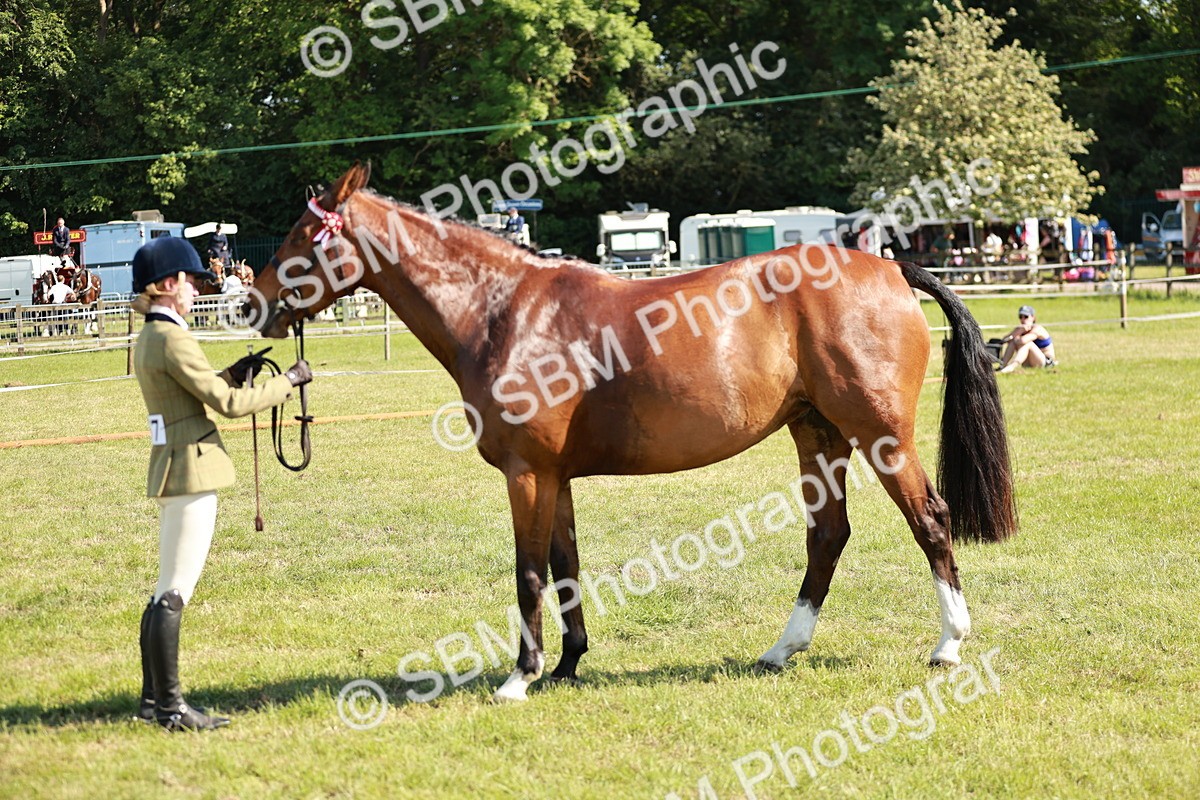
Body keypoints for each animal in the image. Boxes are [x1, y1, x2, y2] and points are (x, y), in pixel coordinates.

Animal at [246, 163, 1017, 703]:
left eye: (302, 236)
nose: (255, 302)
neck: (502, 312)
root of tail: (891, 265)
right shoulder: (555, 479)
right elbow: (565, 569)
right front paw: (566, 665)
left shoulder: (527, 474)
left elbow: (529, 572)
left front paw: (519, 677)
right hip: (816, 433)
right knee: (828, 535)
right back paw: (780, 650)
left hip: (879, 435)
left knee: (930, 519)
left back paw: (949, 645)